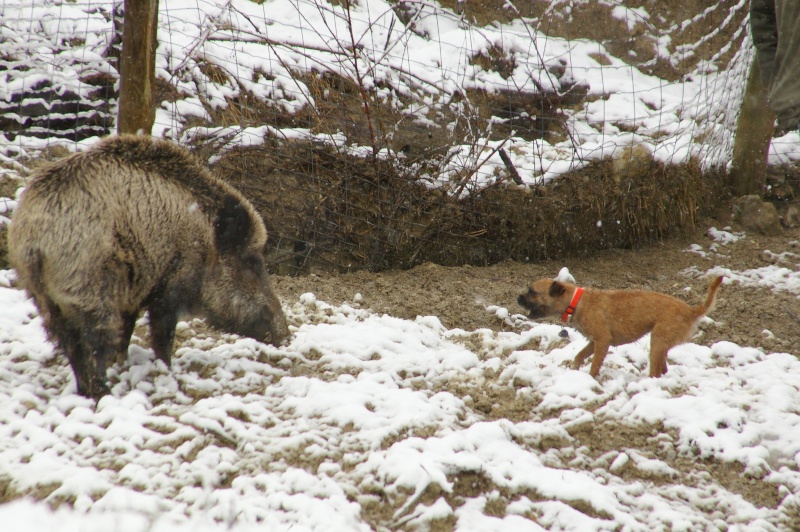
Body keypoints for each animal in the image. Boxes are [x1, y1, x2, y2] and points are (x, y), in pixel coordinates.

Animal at [520, 276, 724, 376]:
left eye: (532, 291)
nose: (517, 297)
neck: (575, 301)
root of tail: (691, 310)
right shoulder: (594, 342)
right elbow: (579, 355)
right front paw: (574, 370)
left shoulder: (602, 341)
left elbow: (594, 365)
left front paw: (591, 378)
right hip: (661, 343)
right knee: (663, 368)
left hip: (657, 341)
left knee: (655, 371)